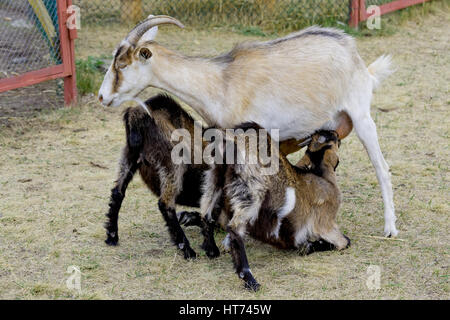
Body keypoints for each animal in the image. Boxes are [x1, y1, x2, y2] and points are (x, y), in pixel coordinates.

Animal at [98, 15, 398, 238]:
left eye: (122, 64)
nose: (102, 97)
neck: (220, 83)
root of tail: (354, 55)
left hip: (361, 116)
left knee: (382, 168)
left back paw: (390, 228)